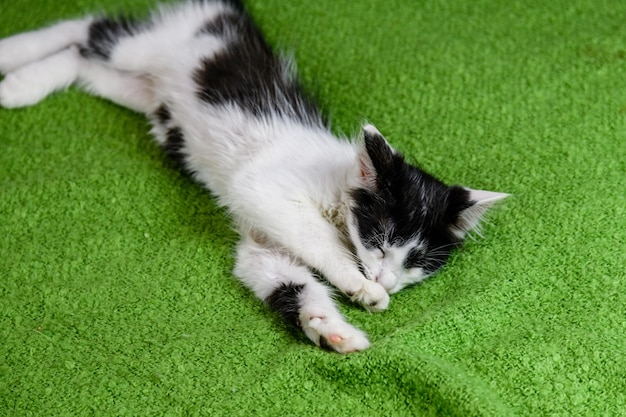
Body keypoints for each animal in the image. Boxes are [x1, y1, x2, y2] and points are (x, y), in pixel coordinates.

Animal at [0, 0, 508, 352]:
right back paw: (14, 68)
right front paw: (359, 286)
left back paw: (28, 82)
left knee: (84, 60)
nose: (386, 281)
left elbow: (285, 280)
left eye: (415, 264)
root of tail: (227, 14)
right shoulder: (265, 189)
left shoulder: (262, 247)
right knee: (93, 29)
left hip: (140, 92)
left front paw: (329, 330)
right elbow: (315, 238)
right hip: (158, 46)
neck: (335, 187)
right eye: (381, 244)